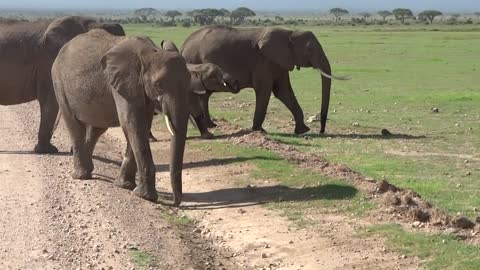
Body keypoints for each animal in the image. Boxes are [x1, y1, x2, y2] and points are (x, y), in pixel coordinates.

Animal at [53, 29, 193, 206]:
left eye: (189, 83)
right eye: (159, 85)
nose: (174, 202)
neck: (150, 53)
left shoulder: (139, 88)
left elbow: (142, 124)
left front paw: (125, 186)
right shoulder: (125, 83)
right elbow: (132, 123)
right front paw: (145, 196)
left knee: (97, 129)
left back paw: (88, 170)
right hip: (58, 83)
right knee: (74, 126)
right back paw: (80, 176)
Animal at [182, 26, 346, 135]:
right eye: (309, 50)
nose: (321, 131)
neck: (289, 33)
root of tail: (183, 46)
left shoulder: (279, 62)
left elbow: (283, 92)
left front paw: (302, 131)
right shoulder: (263, 61)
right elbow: (265, 90)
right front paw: (259, 131)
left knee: (205, 95)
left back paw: (212, 125)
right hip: (194, 61)